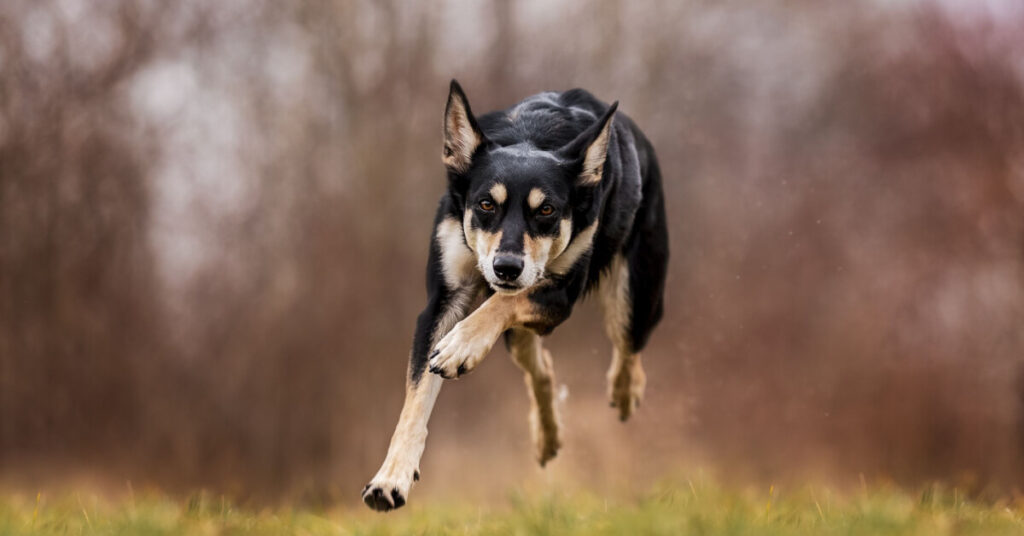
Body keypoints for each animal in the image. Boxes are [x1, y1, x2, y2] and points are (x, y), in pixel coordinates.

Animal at [364, 79, 667, 512]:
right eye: (486, 204)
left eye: (547, 211)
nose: (506, 267)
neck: (531, 136)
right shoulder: (442, 302)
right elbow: (416, 397)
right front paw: (391, 478)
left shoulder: (559, 294)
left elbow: (503, 301)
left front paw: (461, 345)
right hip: (525, 337)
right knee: (541, 367)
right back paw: (547, 436)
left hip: (633, 300)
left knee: (628, 350)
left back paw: (625, 392)